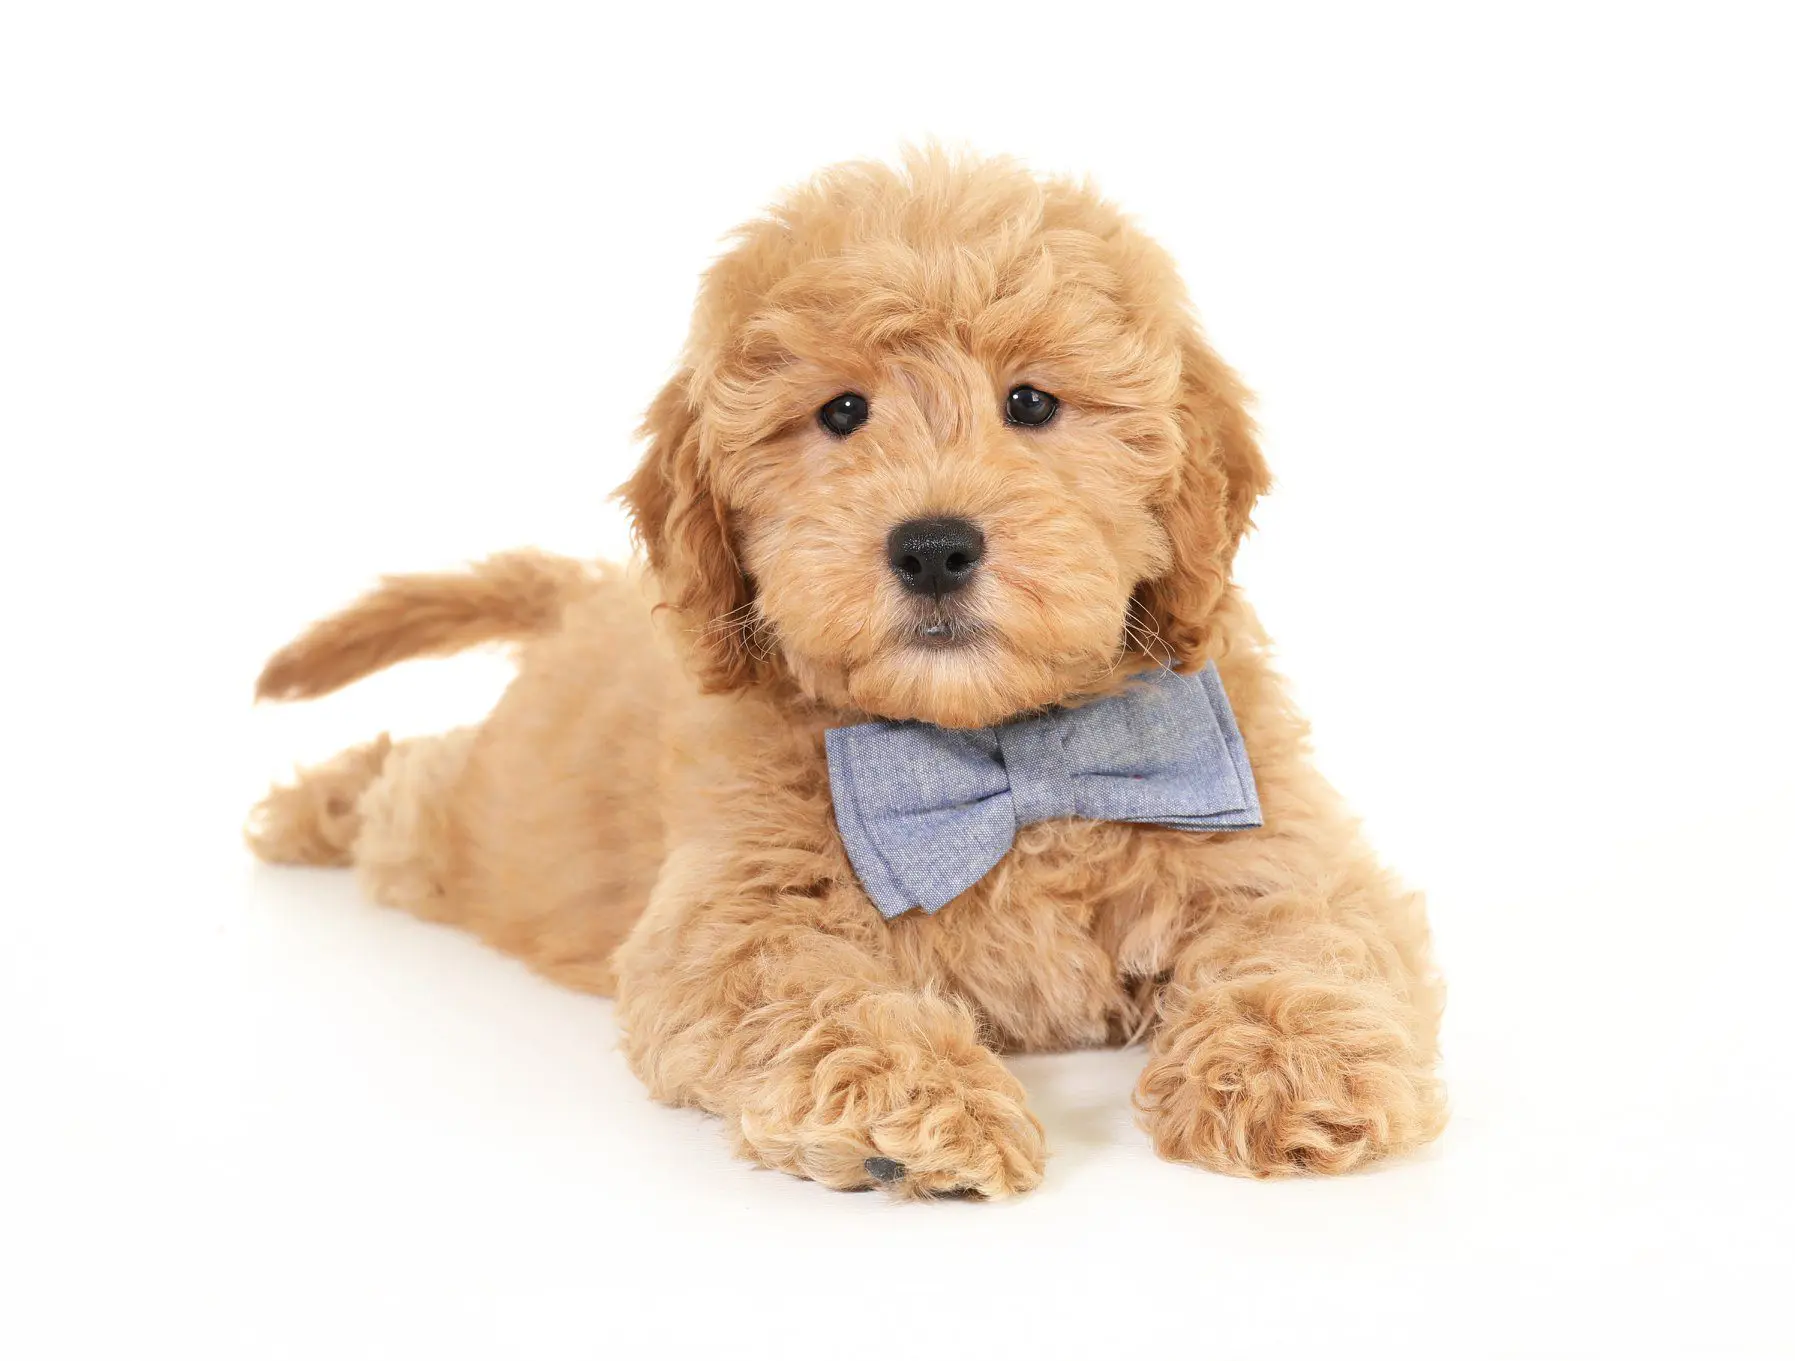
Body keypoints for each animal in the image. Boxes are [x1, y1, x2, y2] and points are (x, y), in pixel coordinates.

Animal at [249, 149, 1443, 1199]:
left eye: (1031, 403)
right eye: (841, 412)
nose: (933, 547)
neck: (998, 752)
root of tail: (588, 594)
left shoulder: (1273, 838)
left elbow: (1304, 935)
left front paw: (1290, 1066)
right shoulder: (728, 918)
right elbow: (818, 1000)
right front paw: (917, 1110)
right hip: (482, 831)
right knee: (406, 777)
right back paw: (302, 810)